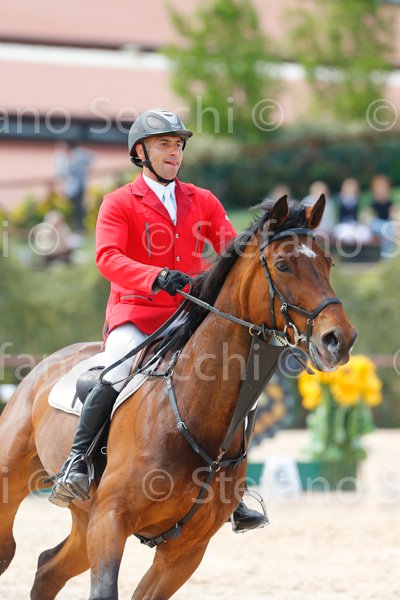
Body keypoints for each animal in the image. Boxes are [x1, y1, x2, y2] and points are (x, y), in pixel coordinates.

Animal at [0, 195, 357, 599]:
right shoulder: (110, 520)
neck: (191, 412)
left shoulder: (184, 552)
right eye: (283, 265)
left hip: (83, 518)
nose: (339, 339)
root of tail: (42, 367)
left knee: (48, 569)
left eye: (328, 263)